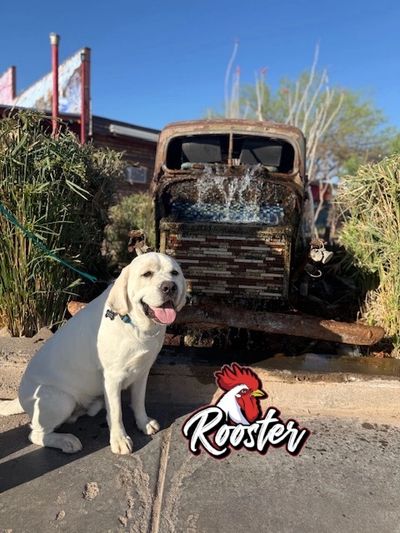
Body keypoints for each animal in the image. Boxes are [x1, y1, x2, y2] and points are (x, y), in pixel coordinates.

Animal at [0, 252, 186, 454]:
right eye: (147, 274)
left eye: (174, 273)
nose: (170, 287)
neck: (135, 325)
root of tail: (20, 397)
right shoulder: (112, 378)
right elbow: (116, 412)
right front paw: (120, 440)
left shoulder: (142, 371)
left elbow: (138, 401)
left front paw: (143, 423)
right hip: (60, 399)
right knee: (35, 434)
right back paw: (66, 441)